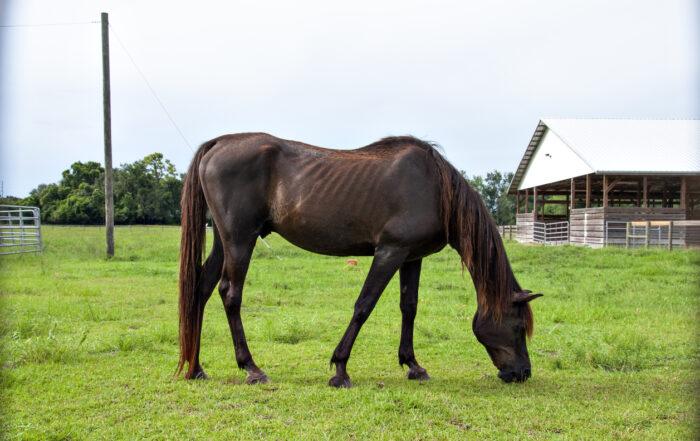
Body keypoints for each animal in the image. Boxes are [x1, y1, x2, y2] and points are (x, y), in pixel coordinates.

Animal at [177, 133, 542, 387]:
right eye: (518, 326)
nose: (522, 372)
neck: (436, 189)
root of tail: (220, 143)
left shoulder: (412, 257)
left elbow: (409, 307)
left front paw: (413, 365)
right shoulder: (389, 252)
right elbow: (364, 306)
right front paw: (340, 369)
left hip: (225, 242)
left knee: (202, 289)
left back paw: (196, 368)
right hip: (241, 241)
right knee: (230, 294)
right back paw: (251, 369)